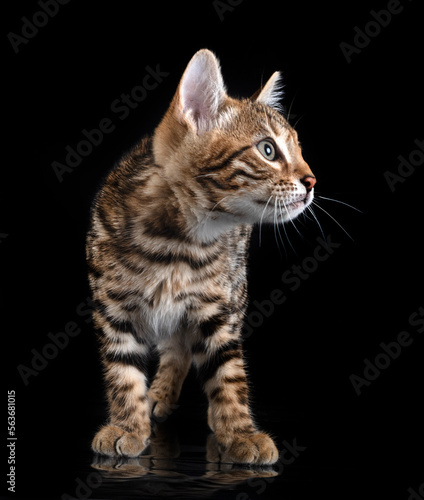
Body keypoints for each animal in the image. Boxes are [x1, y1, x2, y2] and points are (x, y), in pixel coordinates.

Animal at [88, 48, 316, 462]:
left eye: (300, 151)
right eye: (268, 149)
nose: (311, 181)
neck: (176, 244)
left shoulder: (219, 310)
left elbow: (228, 374)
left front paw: (240, 432)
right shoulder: (112, 308)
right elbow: (122, 371)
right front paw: (128, 425)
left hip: (235, 291)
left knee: (181, 346)